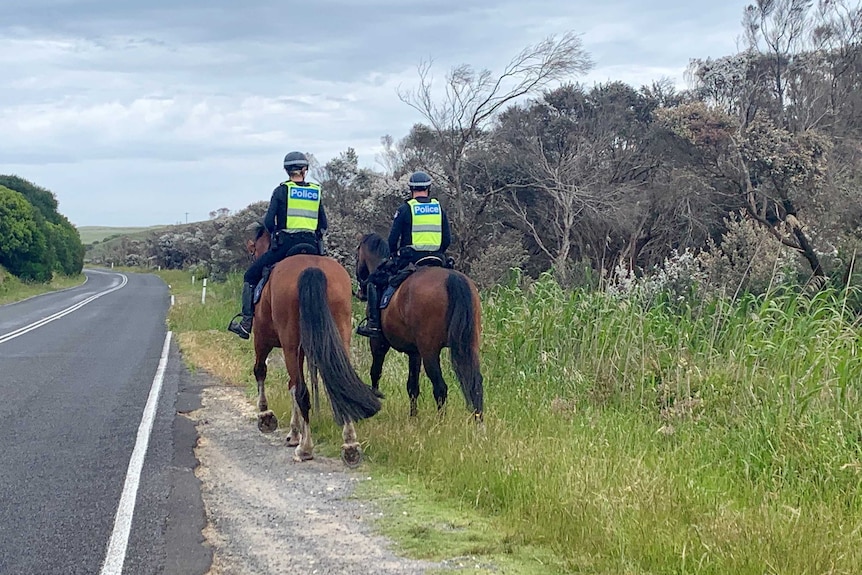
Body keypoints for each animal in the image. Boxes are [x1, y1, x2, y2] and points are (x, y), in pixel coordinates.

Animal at [246, 226, 382, 468]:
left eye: (253, 249)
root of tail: (312, 268)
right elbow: (291, 385)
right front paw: (293, 433)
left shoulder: (262, 338)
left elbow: (262, 371)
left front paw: (266, 417)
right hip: (339, 337)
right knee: (340, 383)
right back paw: (350, 445)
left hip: (289, 345)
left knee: (302, 391)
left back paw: (305, 449)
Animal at [352, 232, 486, 420]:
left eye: (358, 256)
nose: (360, 291)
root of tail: (452, 278)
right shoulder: (414, 352)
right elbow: (412, 386)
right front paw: (413, 416)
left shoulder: (378, 343)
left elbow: (375, 372)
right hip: (468, 344)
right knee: (475, 383)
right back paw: (478, 421)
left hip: (429, 351)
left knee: (440, 387)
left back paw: (440, 422)